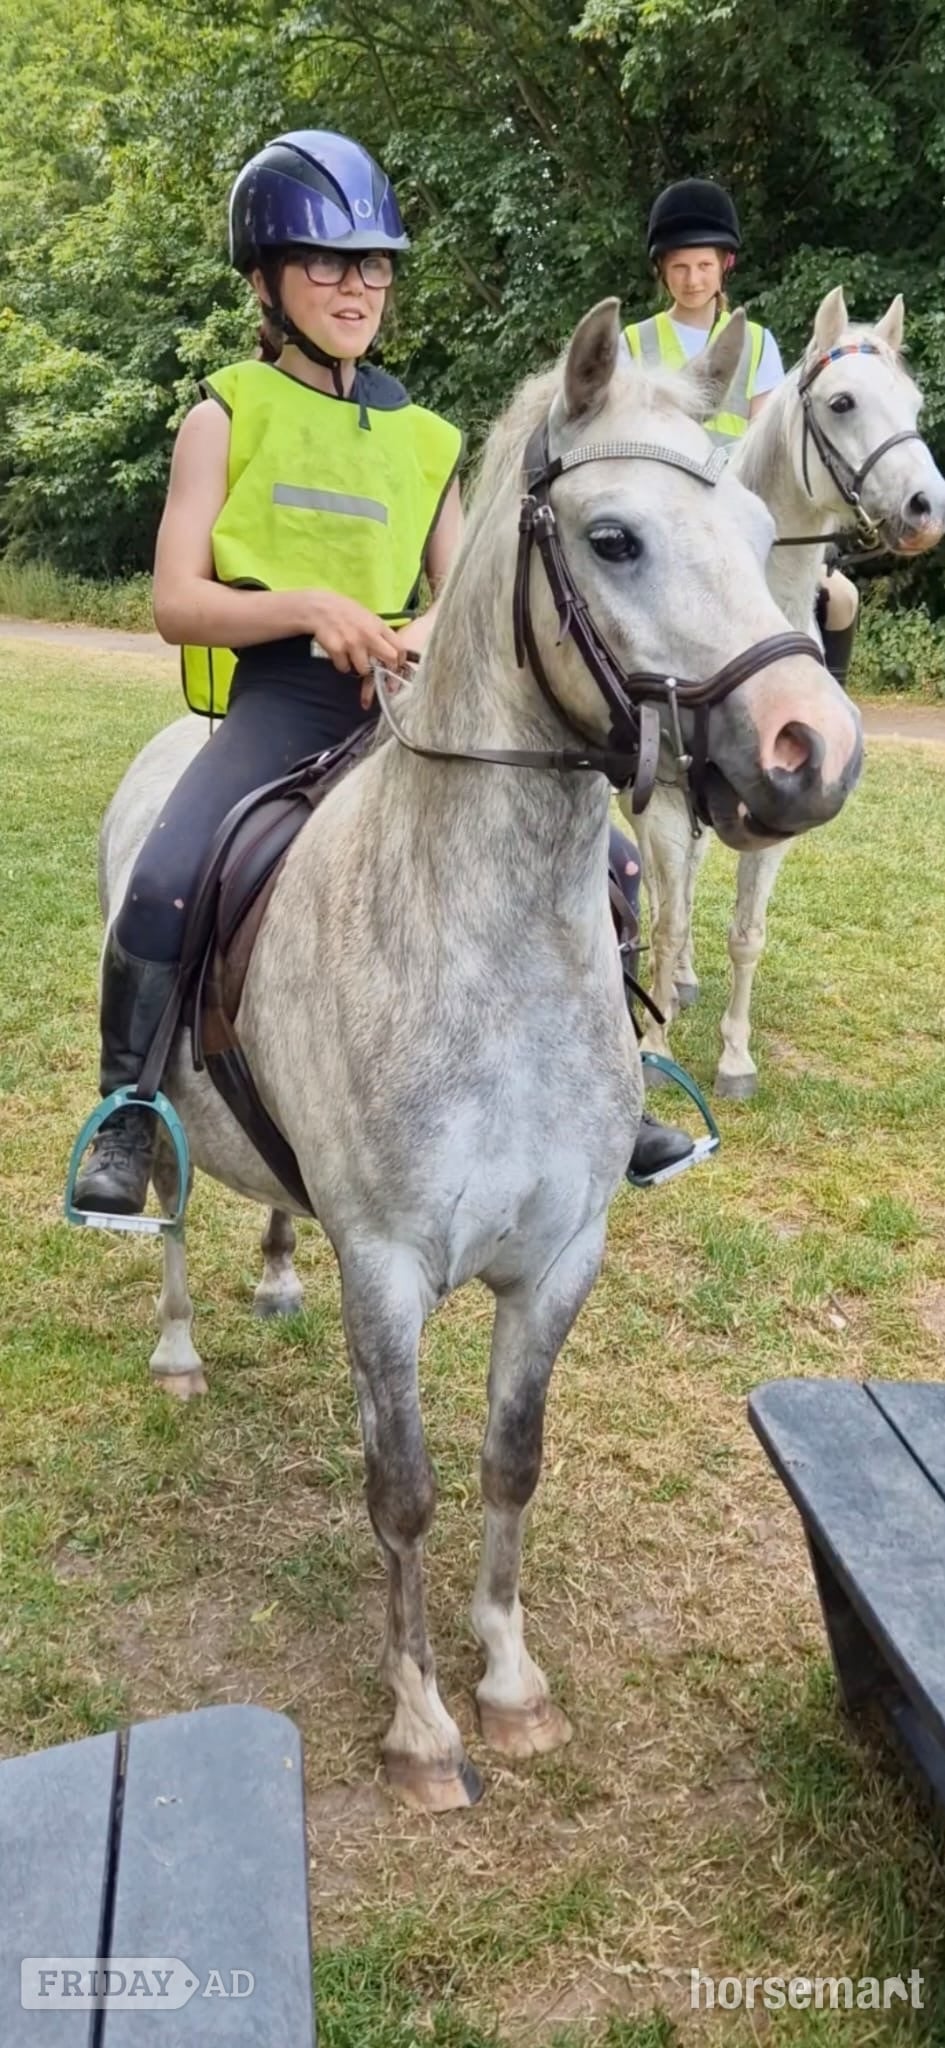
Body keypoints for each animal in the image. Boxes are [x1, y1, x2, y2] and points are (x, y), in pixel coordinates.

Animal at [94, 300, 861, 1809]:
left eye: (762, 535)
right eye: (613, 539)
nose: (818, 749)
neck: (481, 946)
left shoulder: (559, 1255)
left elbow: (509, 1463)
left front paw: (507, 1680)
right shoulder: (390, 1266)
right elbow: (405, 1491)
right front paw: (421, 1726)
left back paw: (279, 1284)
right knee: (168, 1205)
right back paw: (177, 1348)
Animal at [624, 287, 945, 1097]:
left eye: (914, 404)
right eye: (841, 402)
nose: (926, 508)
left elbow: (747, 933)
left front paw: (735, 1057)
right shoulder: (664, 794)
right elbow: (668, 919)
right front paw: (657, 1047)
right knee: (663, 892)